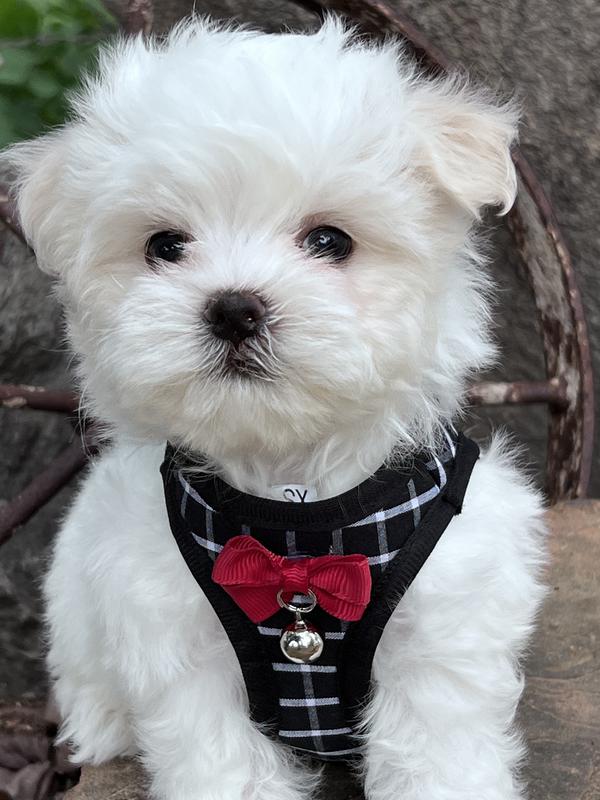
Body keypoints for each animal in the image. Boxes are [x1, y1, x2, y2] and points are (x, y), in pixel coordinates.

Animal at [5, 17, 548, 800]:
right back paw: (102, 724)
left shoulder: (444, 628)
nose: (233, 308)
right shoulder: (178, 642)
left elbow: (438, 749)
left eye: (330, 240)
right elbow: (219, 760)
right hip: (76, 589)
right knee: (82, 666)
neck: (296, 513)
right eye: (164, 245)